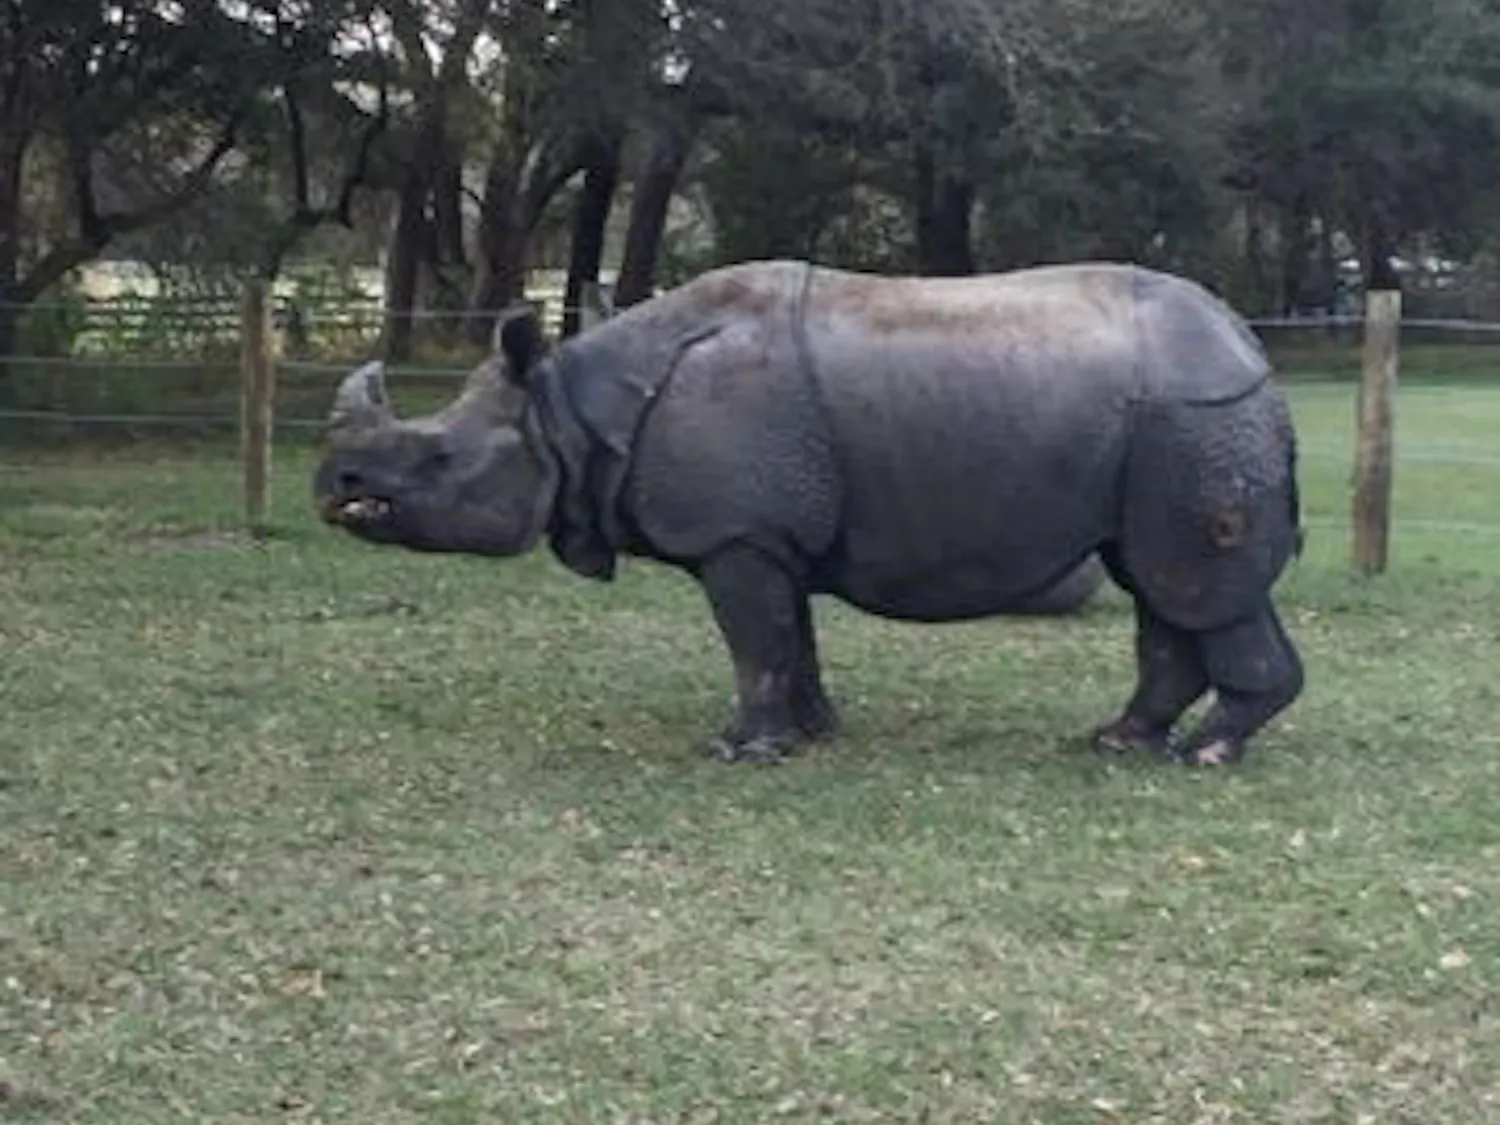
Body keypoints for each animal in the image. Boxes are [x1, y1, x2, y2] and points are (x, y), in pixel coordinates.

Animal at [314, 259, 1305, 767]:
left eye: (437, 457)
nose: (333, 484)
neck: (566, 410)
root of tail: (1250, 345)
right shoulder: (767, 530)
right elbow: (791, 636)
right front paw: (814, 733)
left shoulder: (736, 534)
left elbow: (755, 639)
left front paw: (739, 751)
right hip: (1166, 428)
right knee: (1159, 585)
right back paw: (1119, 741)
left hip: (1193, 419)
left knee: (1191, 583)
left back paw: (1205, 756)